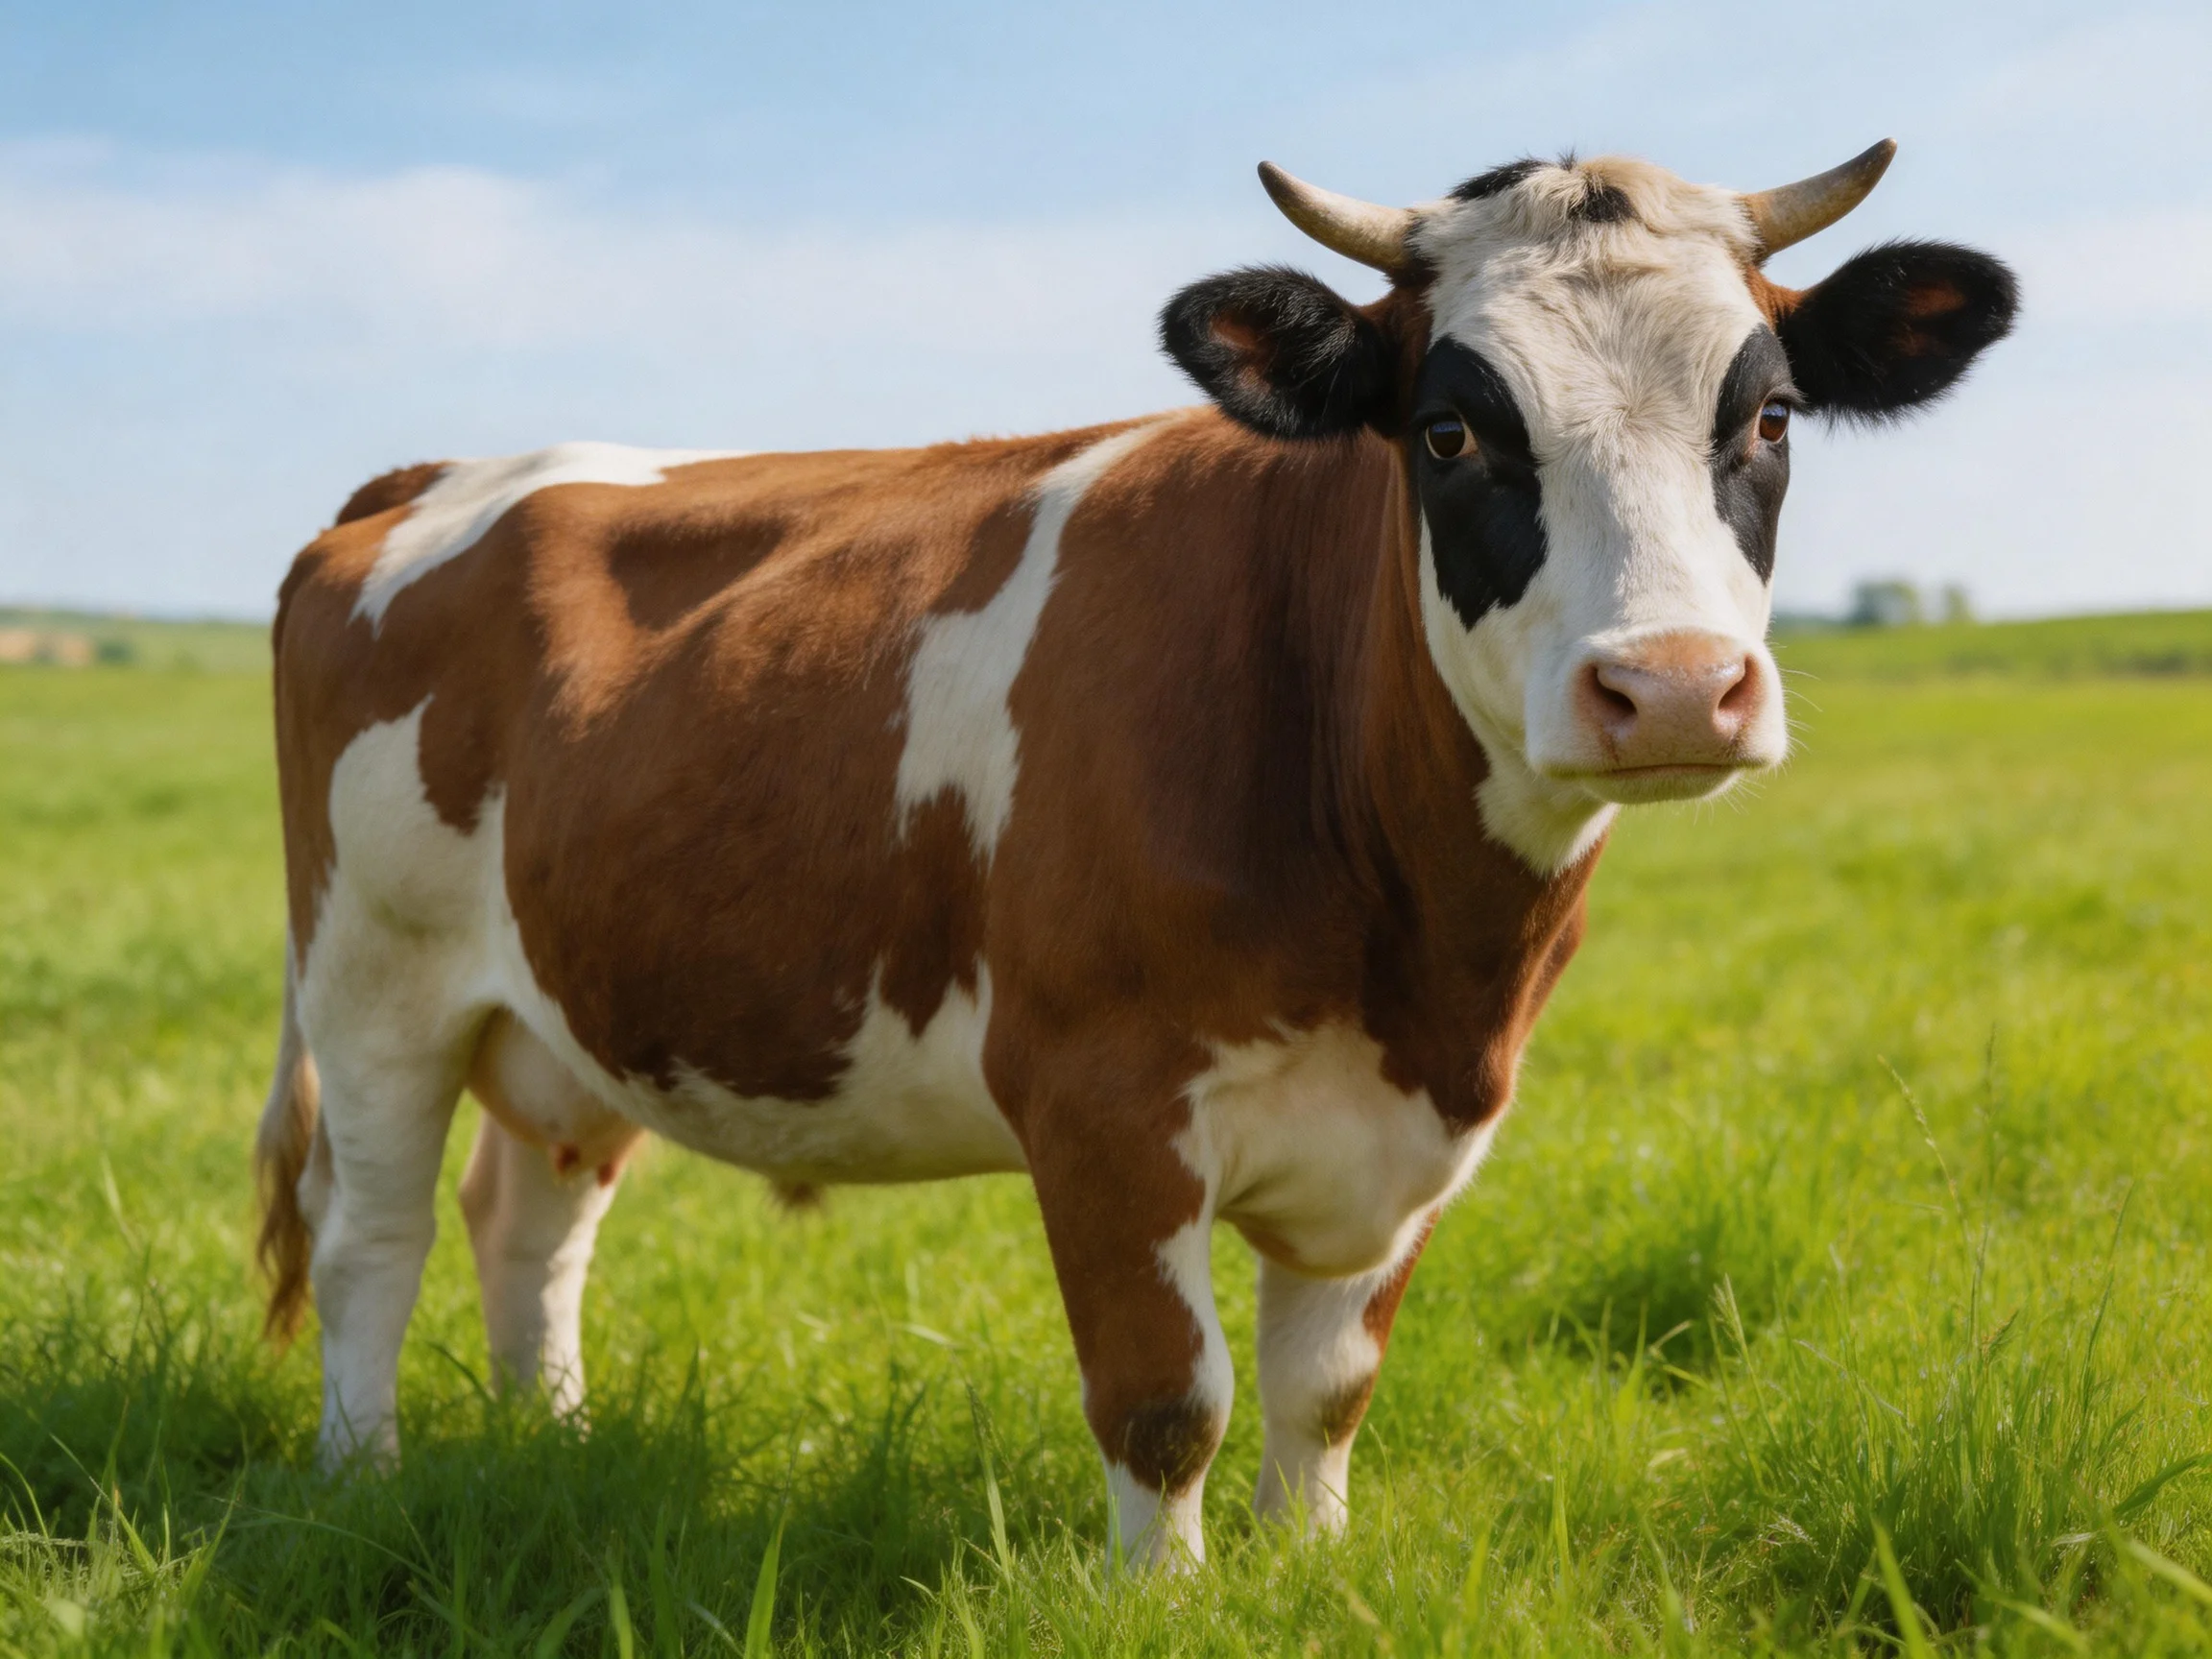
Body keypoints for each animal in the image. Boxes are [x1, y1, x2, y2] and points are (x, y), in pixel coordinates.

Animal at [255, 142, 2014, 1567]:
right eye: (1449, 428)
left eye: (1767, 415)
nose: (1669, 686)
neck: (1419, 951)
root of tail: (448, 472)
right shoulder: (1098, 1100)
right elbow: (1169, 1398)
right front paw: (1166, 1594)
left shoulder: (1420, 1124)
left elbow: (1325, 1387)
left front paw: (1309, 1569)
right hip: (374, 981)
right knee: (370, 1239)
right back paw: (357, 1480)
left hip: (568, 1000)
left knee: (529, 1220)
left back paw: (551, 1442)